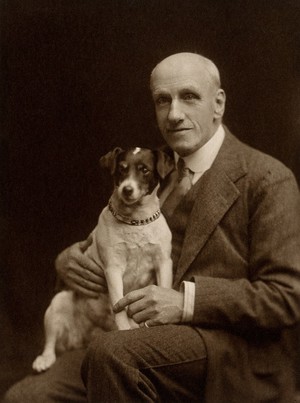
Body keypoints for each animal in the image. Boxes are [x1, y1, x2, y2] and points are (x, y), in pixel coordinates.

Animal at [32, 148, 173, 372]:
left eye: (144, 170)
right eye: (122, 169)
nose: (127, 189)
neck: (136, 221)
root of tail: (83, 337)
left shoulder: (164, 263)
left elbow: (163, 288)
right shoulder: (113, 269)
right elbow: (119, 304)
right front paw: (124, 330)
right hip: (57, 305)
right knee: (50, 343)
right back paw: (44, 359)